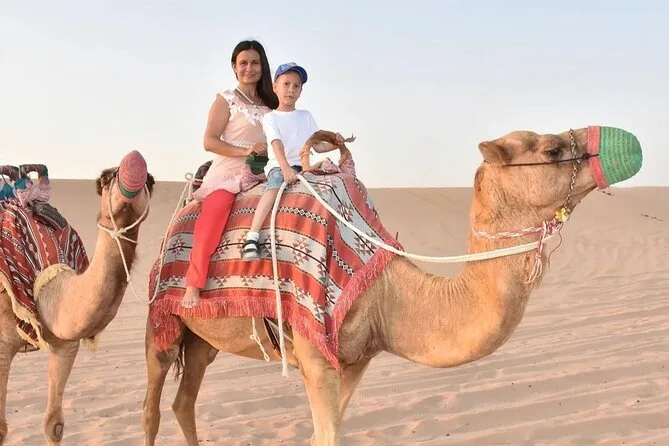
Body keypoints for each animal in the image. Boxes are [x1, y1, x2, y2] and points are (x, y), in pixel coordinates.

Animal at [0, 151, 155, 445]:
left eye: (151, 182)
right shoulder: (1, 344)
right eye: (104, 178)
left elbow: (54, 424)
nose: (135, 166)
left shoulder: (66, 344)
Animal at [141, 126, 642, 445]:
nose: (628, 144)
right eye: (553, 149)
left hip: (203, 338)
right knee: (152, 407)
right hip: (161, 318)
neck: (385, 288)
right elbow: (327, 437)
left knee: (185, 402)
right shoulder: (314, 352)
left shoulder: (355, 359)